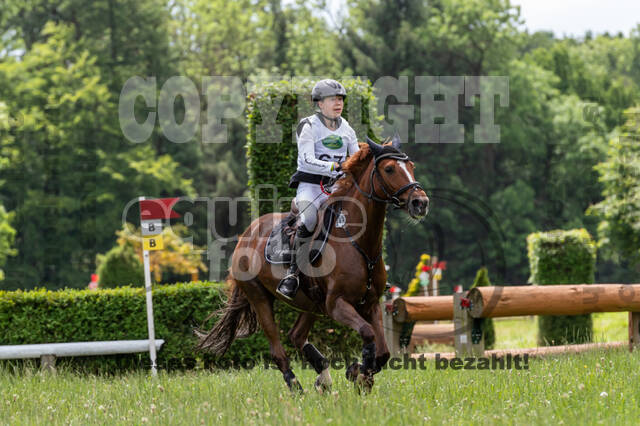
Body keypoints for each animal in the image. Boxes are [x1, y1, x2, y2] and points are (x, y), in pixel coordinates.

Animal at [196, 135, 429, 392]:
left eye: (411, 166)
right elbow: (368, 334)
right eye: (389, 169)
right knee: (277, 349)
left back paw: (323, 377)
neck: (358, 242)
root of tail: (245, 234)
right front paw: (358, 372)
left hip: (311, 303)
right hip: (260, 297)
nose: (420, 202)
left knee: (296, 335)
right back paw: (295, 385)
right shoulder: (337, 304)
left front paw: (359, 373)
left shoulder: (370, 303)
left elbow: (384, 353)